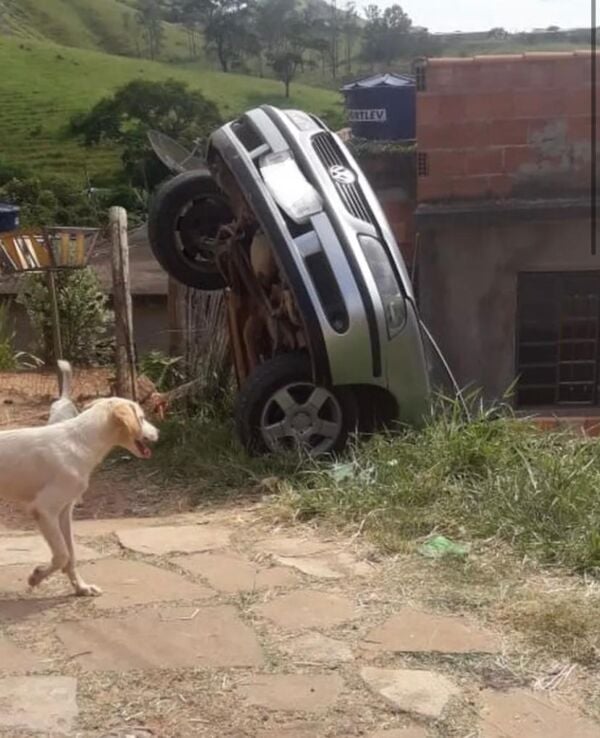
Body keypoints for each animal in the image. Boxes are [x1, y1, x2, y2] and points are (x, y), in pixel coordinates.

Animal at [0, 396, 158, 592]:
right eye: (142, 418)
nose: (158, 433)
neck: (82, 441)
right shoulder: (44, 510)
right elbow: (62, 556)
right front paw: (36, 577)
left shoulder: (64, 511)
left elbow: (72, 554)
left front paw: (81, 588)